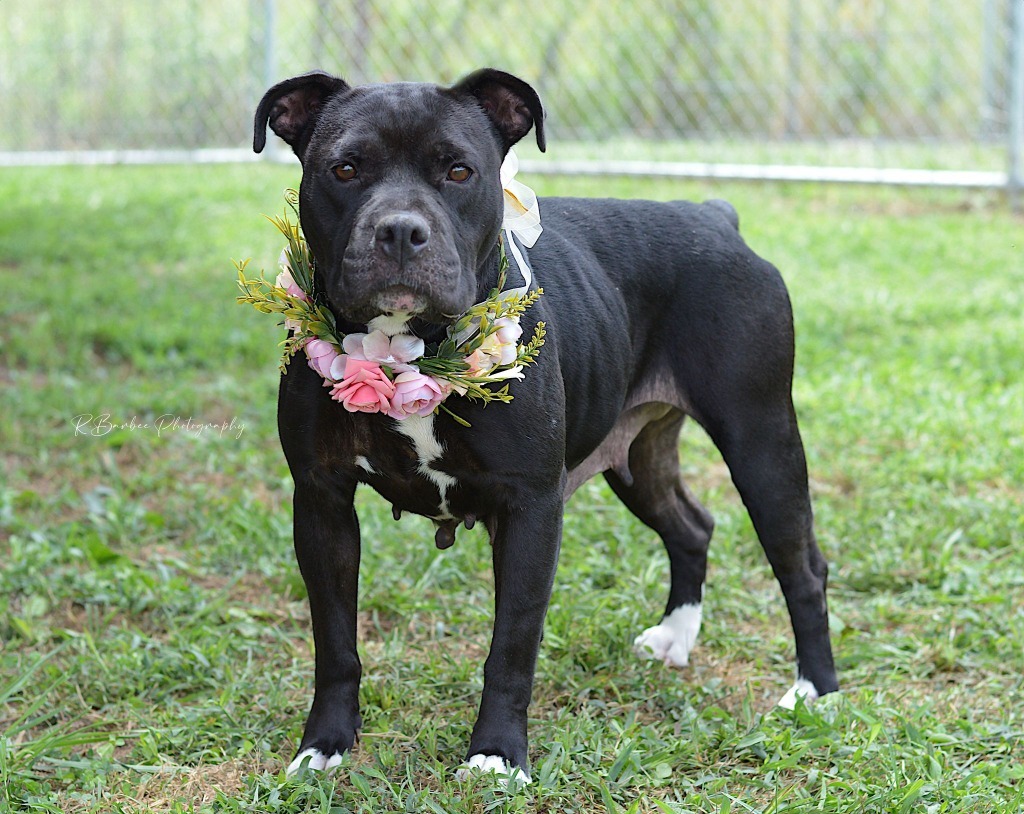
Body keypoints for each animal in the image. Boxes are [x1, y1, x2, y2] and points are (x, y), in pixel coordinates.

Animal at [251, 68, 835, 782]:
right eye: (345, 168)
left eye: (458, 171)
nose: (400, 231)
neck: (406, 348)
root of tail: (714, 217)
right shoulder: (322, 500)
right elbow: (334, 639)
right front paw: (325, 745)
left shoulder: (531, 505)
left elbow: (513, 643)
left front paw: (496, 755)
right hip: (637, 456)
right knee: (692, 527)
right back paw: (676, 635)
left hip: (761, 441)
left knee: (802, 567)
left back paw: (814, 693)